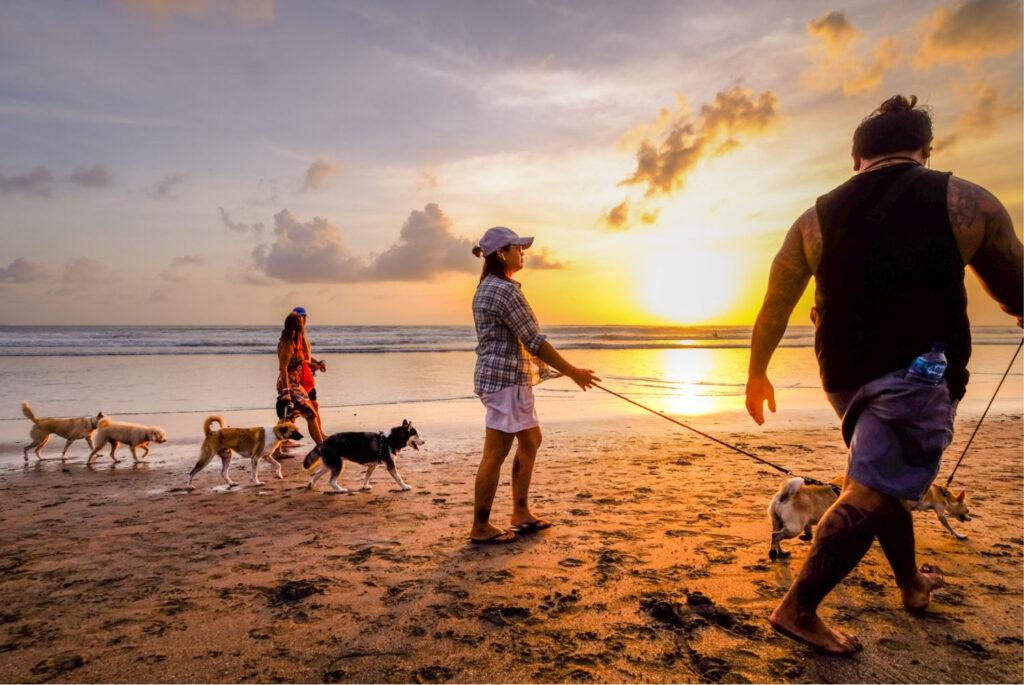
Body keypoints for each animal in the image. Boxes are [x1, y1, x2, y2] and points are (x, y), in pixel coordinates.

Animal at [770, 473, 974, 557]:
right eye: (968, 510)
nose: (971, 517)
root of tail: (784, 495)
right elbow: (949, 526)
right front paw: (959, 535)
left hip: (778, 521)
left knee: (776, 535)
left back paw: (781, 552)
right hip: (792, 528)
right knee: (776, 535)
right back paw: (774, 552)